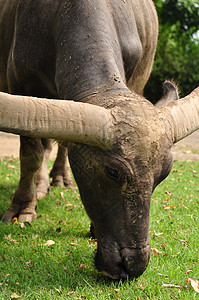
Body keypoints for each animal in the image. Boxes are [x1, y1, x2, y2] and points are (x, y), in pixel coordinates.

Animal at [0, 0, 199, 278]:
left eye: (164, 173)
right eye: (112, 171)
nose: (132, 264)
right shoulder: (20, 83)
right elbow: (31, 154)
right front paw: (23, 209)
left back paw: (59, 178)